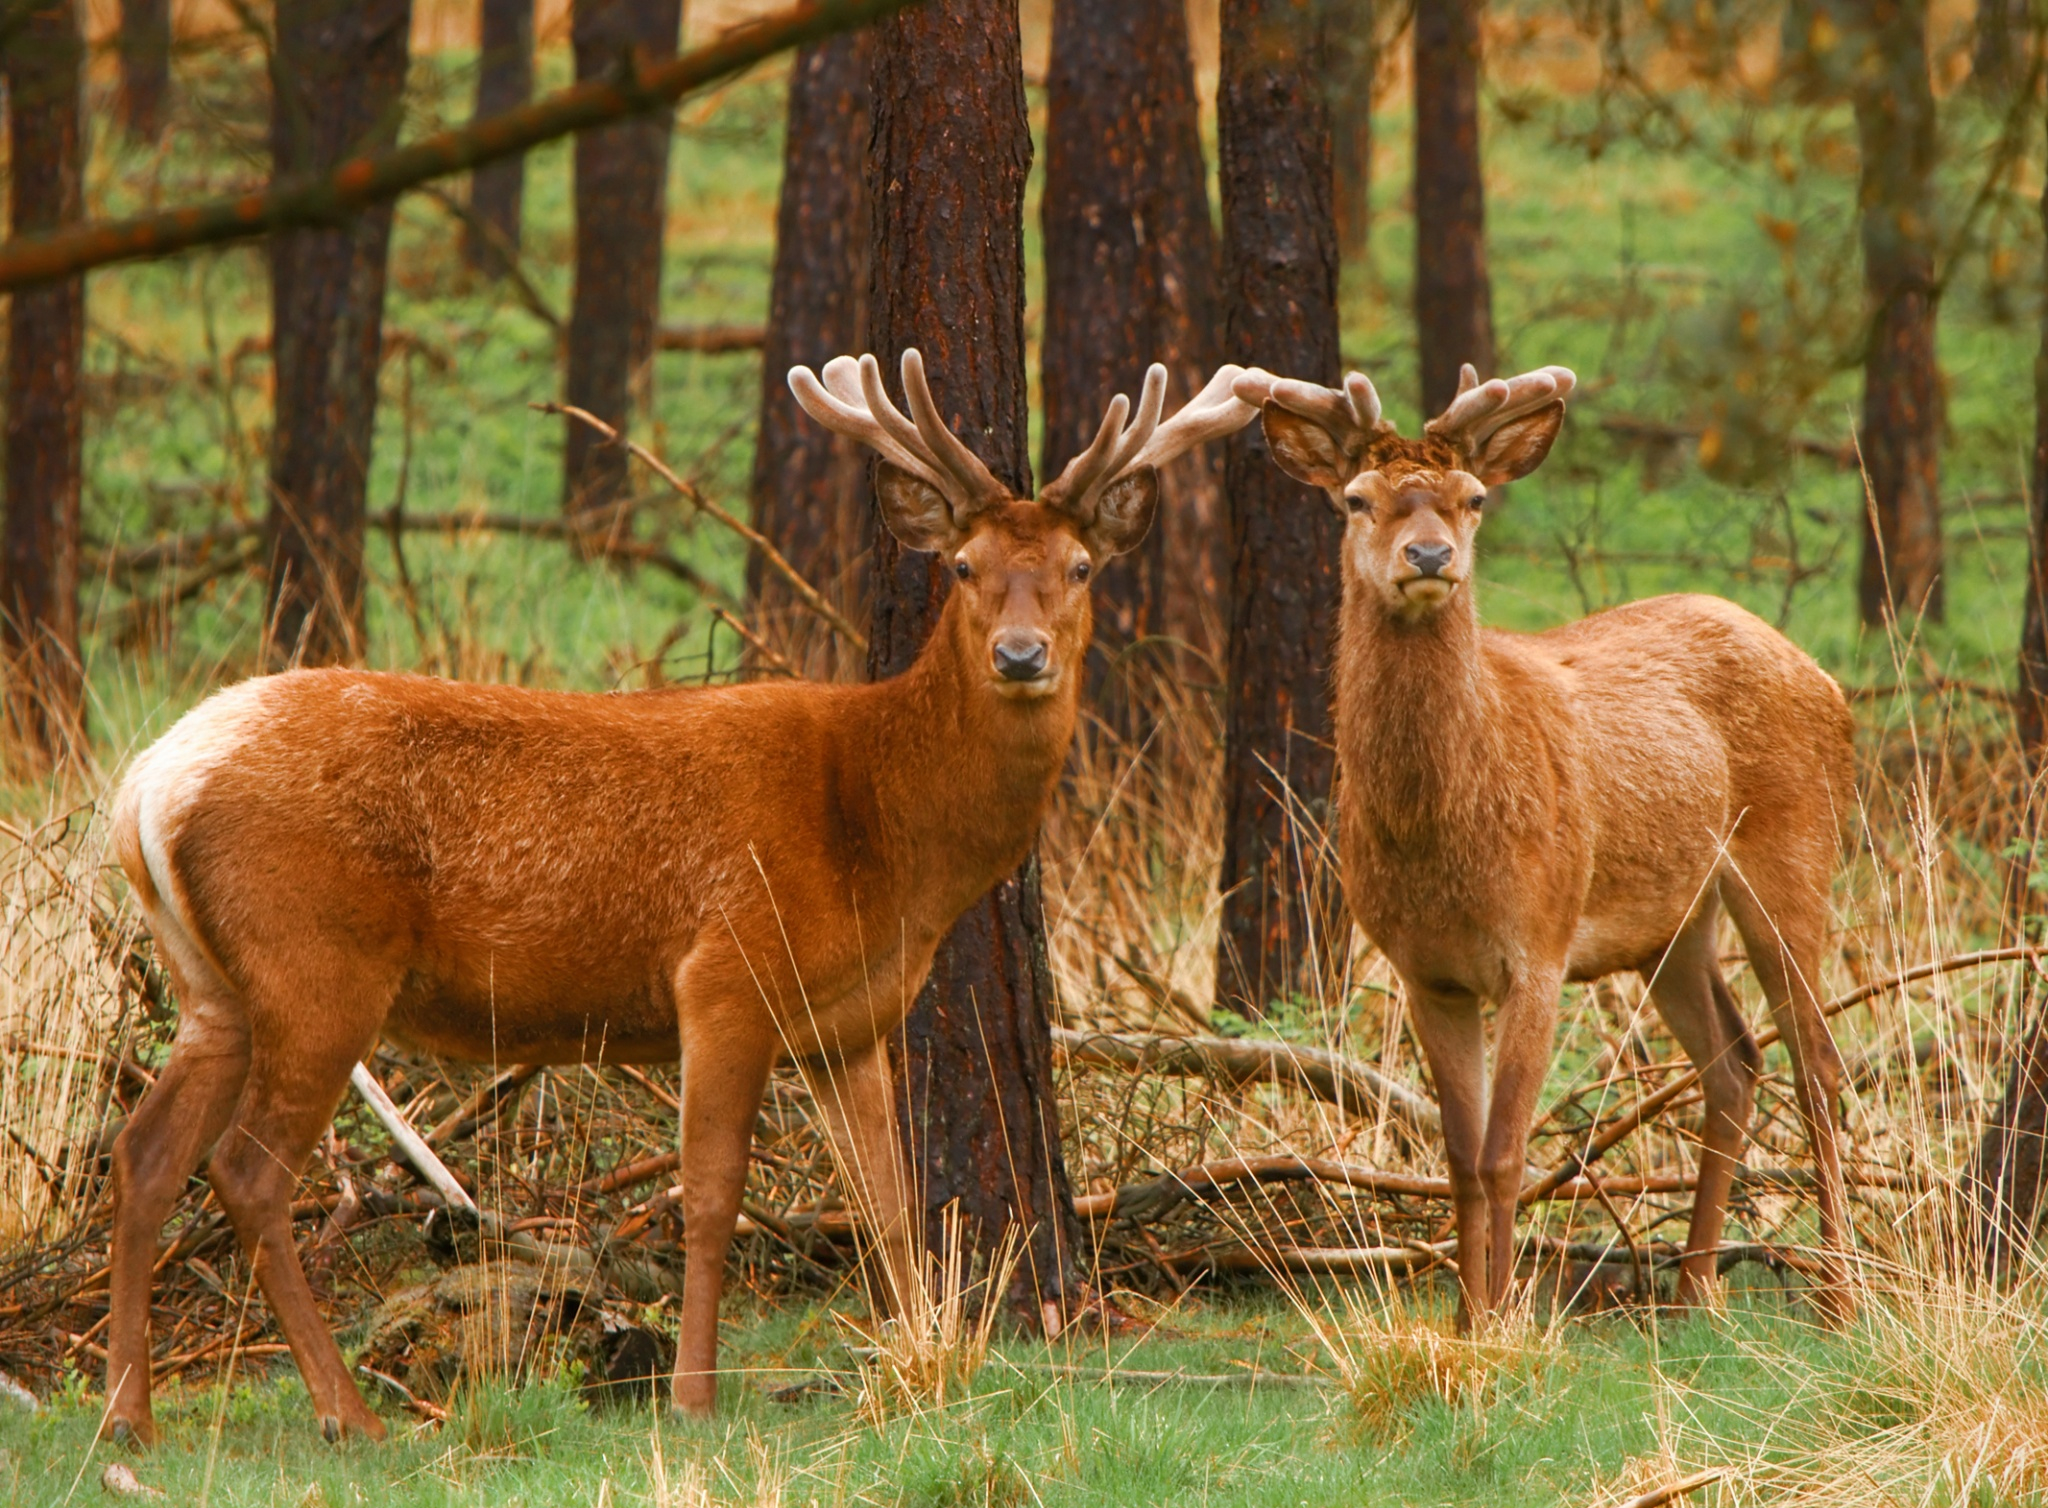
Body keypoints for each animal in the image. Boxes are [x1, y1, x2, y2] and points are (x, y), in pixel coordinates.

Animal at [108, 348, 1261, 1442]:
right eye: (965, 566)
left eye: (1078, 566)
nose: (1020, 654)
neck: (880, 835)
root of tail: (148, 782)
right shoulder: (724, 973)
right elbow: (710, 1199)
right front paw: (694, 1398)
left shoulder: (848, 1023)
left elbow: (888, 1204)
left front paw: (925, 1367)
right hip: (319, 962)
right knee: (247, 1172)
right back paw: (347, 1414)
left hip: (214, 985)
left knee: (148, 1152)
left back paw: (132, 1415)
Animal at [1236, 362, 1867, 1319]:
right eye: (1355, 499)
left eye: (1472, 498)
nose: (1430, 557)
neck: (1439, 838)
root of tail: (1828, 681)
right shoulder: (1425, 971)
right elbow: (1460, 1159)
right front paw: (1467, 1317)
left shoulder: (1539, 940)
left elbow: (1505, 1153)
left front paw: (1502, 1318)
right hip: (1671, 921)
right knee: (1735, 1058)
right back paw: (1693, 1289)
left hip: (1795, 852)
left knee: (1819, 1061)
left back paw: (1837, 1295)